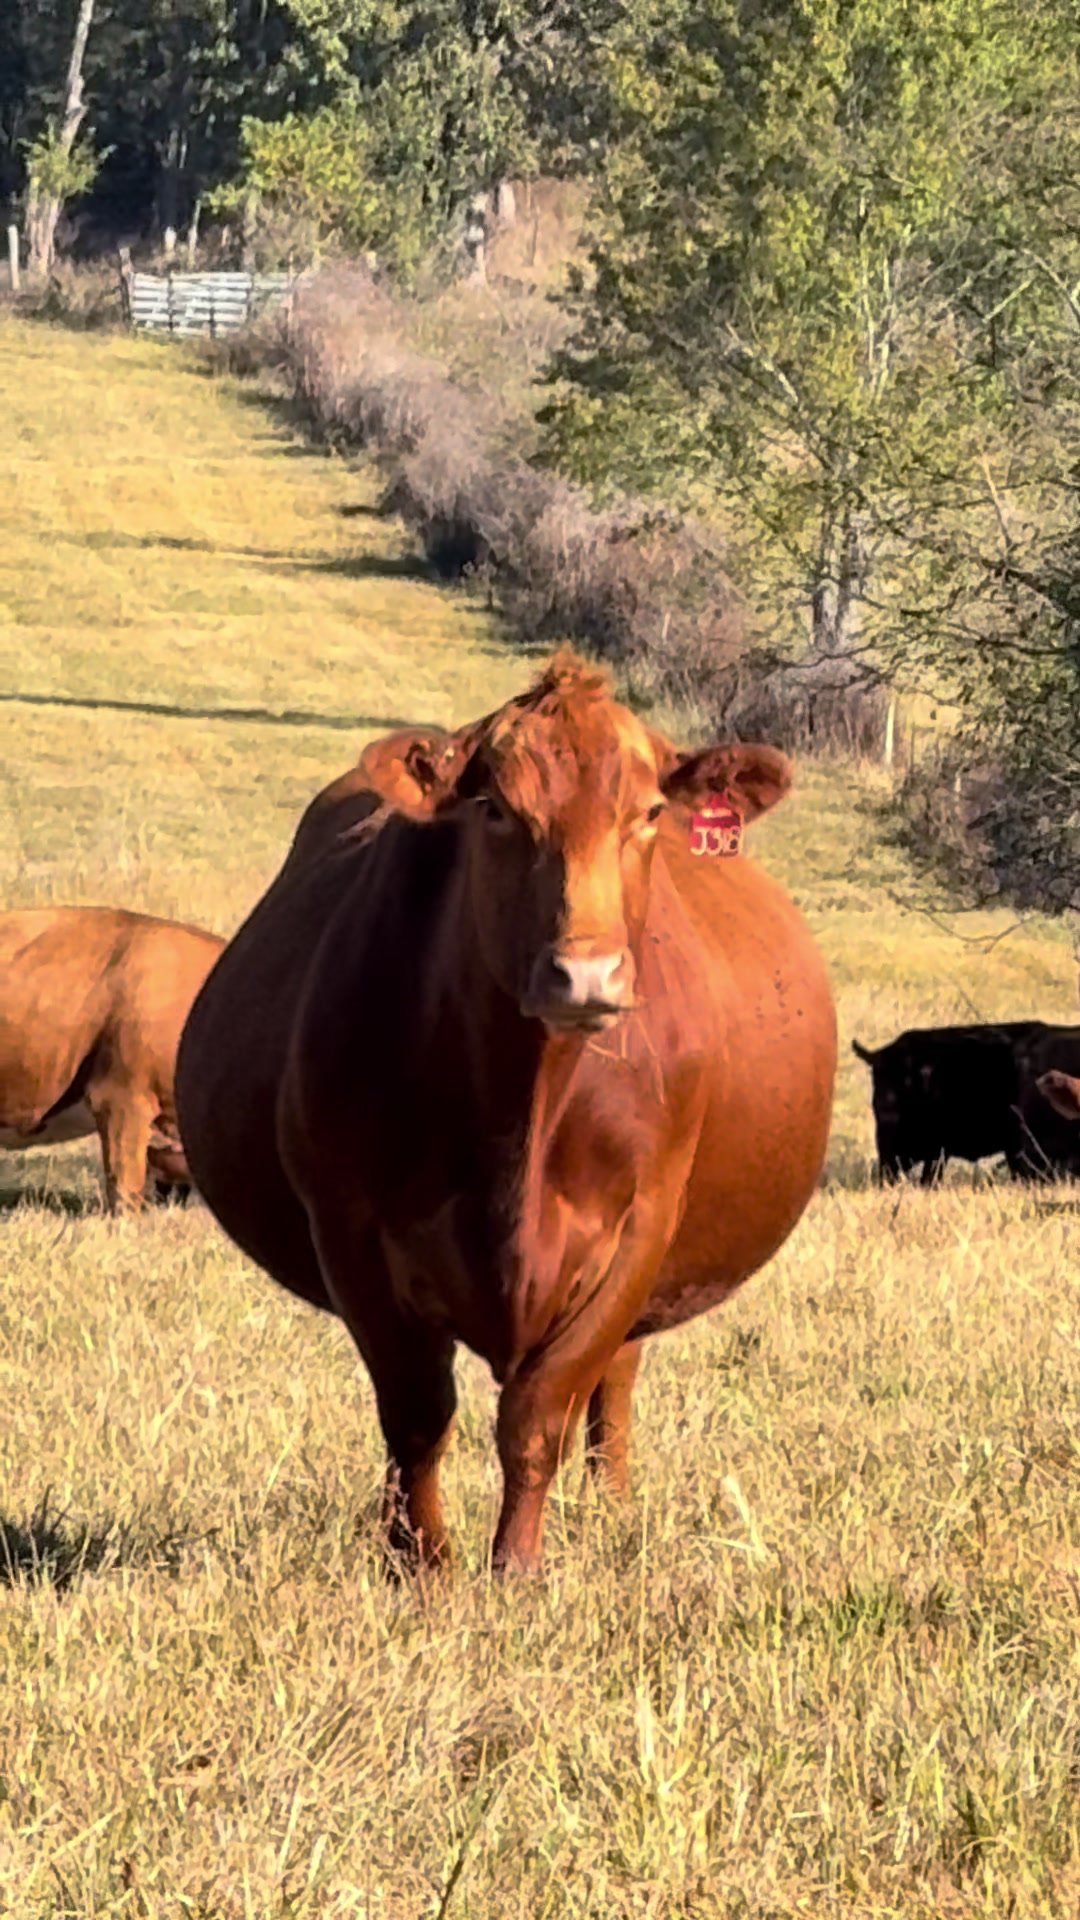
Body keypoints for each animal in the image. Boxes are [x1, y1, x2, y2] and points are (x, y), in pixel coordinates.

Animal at [176, 653, 837, 1573]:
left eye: (650, 814)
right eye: (495, 810)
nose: (587, 976)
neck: (524, 1111)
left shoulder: (641, 1227)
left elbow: (538, 1414)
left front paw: (516, 1569)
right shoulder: (348, 1231)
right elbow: (417, 1415)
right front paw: (422, 1564)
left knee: (614, 1383)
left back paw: (610, 1505)